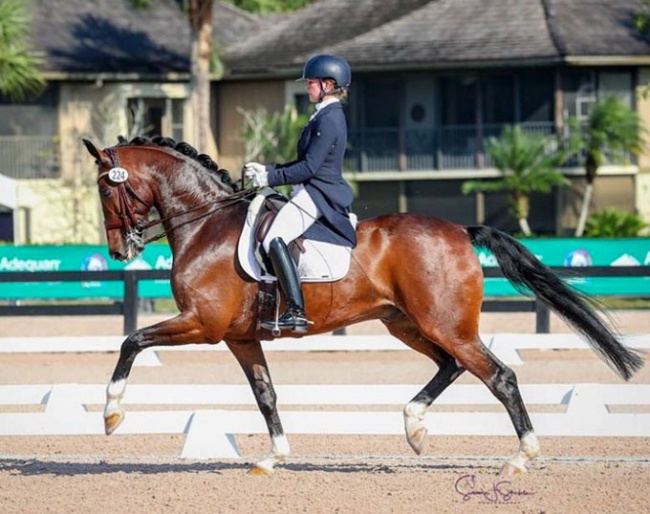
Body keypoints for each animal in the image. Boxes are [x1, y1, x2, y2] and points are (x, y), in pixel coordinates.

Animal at [83, 135, 640, 472]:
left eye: (107, 192)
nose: (118, 252)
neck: (206, 225)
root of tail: (461, 230)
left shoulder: (202, 324)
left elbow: (132, 340)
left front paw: (111, 414)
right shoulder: (239, 337)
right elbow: (266, 395)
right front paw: (275, 456)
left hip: (444, 324)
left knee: (497, 375)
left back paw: (522, 456)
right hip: (408, 324)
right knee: (452, 366)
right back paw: (414, 427)